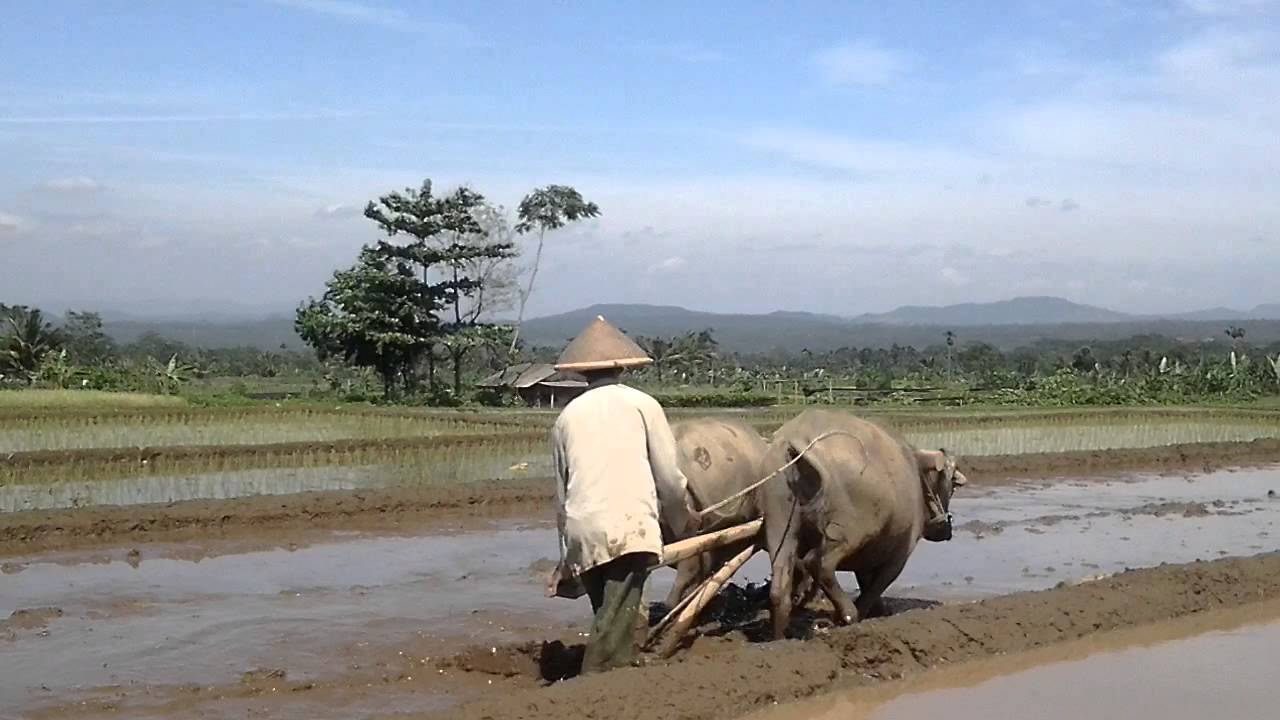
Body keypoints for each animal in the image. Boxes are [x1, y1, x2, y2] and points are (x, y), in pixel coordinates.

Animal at [752, 407, 962, 635]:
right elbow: (876, 586)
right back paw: (848, 614)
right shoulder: (899, 555)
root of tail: (799, 436)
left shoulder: (869, 555)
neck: (914, 469)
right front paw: (864, 612)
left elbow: (866, 582)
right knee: (818, 563)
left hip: (781, 526)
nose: (946, 530)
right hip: (848, 532)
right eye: (952, 485)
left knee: (779, 588)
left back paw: (780, 636)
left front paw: (880, 611)